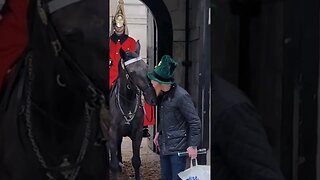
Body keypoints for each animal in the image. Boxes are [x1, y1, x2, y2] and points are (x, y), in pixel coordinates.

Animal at [109, 48, 156, 180]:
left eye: (145, 67)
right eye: (131, 72)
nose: (152, 97)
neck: (127, 103)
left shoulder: (137, 133)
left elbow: (136, 161)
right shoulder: (112, 133)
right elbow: (113, 165)